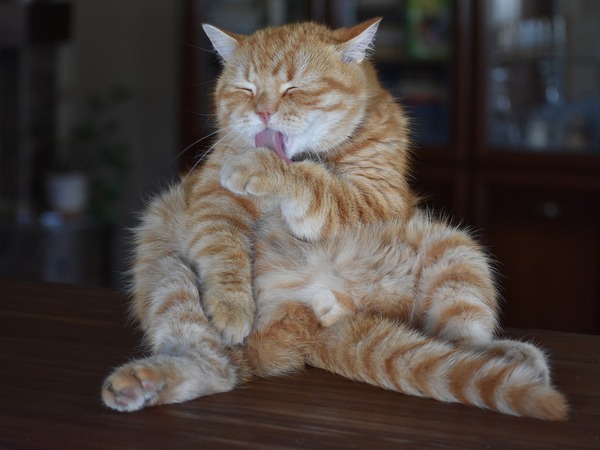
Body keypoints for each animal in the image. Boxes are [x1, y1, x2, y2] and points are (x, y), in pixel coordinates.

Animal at [102, 19, 568, 420]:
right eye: (246, 88)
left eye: (294, 87)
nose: (264, 113)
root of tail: (318, 318)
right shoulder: (212, 199)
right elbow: (221, 250)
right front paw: (231, 307)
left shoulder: (376, 197)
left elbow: (317, 185)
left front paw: (268, 168)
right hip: (166, 269)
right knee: (212, 362)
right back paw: (142, 382)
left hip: (456, 252)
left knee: (463, 340)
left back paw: (514, 355)